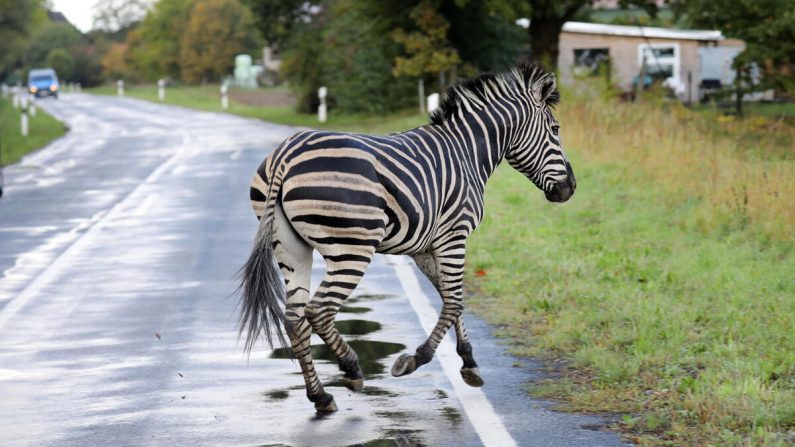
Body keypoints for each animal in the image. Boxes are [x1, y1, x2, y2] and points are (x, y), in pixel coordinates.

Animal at [239, 62, 576, 412]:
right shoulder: (454, 236)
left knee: (294, 318)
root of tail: (285, 155)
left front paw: (469, 362)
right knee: (318, 310)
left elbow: (450, 297)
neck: (467, 152)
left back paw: (320, 396)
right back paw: (351, 369)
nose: (570, 188)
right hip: (352, 248)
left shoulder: (425, 247)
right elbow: (453, 301)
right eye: (555, 129)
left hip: (291, 247)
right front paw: (416, 359)